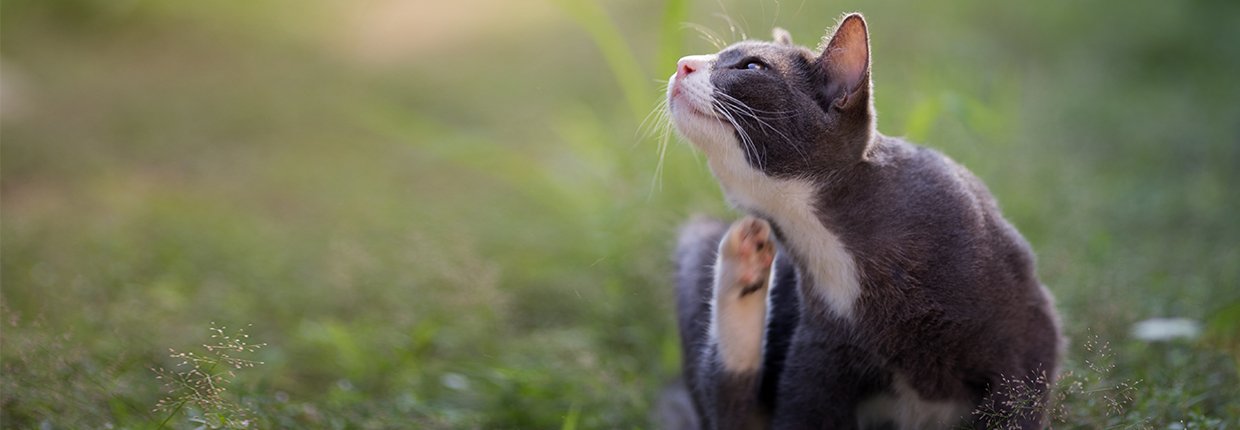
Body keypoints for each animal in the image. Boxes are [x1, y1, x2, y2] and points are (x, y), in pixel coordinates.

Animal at [664, 11, 1061, 428]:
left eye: (752, 66)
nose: (682, 64)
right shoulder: (820, 350)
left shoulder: (1028, 338)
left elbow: (1017, 404)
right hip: (697, 241)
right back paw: (744, 264)